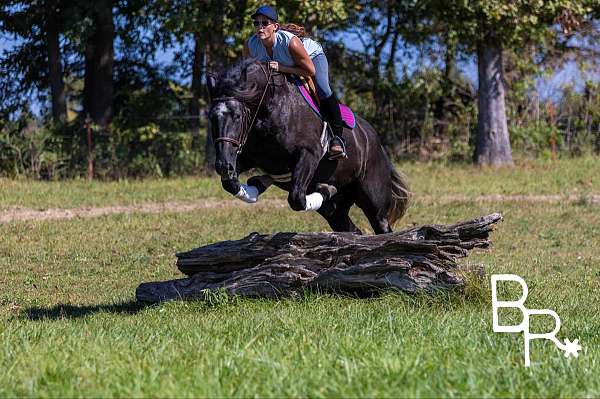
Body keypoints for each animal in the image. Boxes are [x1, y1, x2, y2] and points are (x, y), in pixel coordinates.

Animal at [206, 59, 408, 234]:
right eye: (211, 118)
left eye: (238, 116)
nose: (222, 165)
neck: (270, 108)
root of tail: (376, 142)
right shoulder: (247, 158)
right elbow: (230, 183)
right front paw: (258, 182)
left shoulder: (309, 154)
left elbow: (296, 198)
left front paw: (325, 189)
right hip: (336, 210)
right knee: (348, 227)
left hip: (373, 201)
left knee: (381, 226)